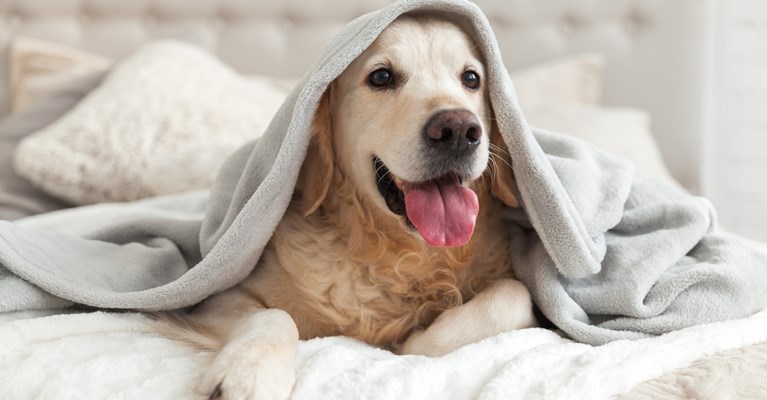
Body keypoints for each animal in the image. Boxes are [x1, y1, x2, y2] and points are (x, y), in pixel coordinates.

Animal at [170, 13, 540, 400]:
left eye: (471, 78)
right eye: (381, 77)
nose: (457, 130)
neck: (399, 254)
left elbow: (515, 294)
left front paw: (419, 340)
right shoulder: (213, 300)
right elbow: (273, 315)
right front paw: (248, 373)